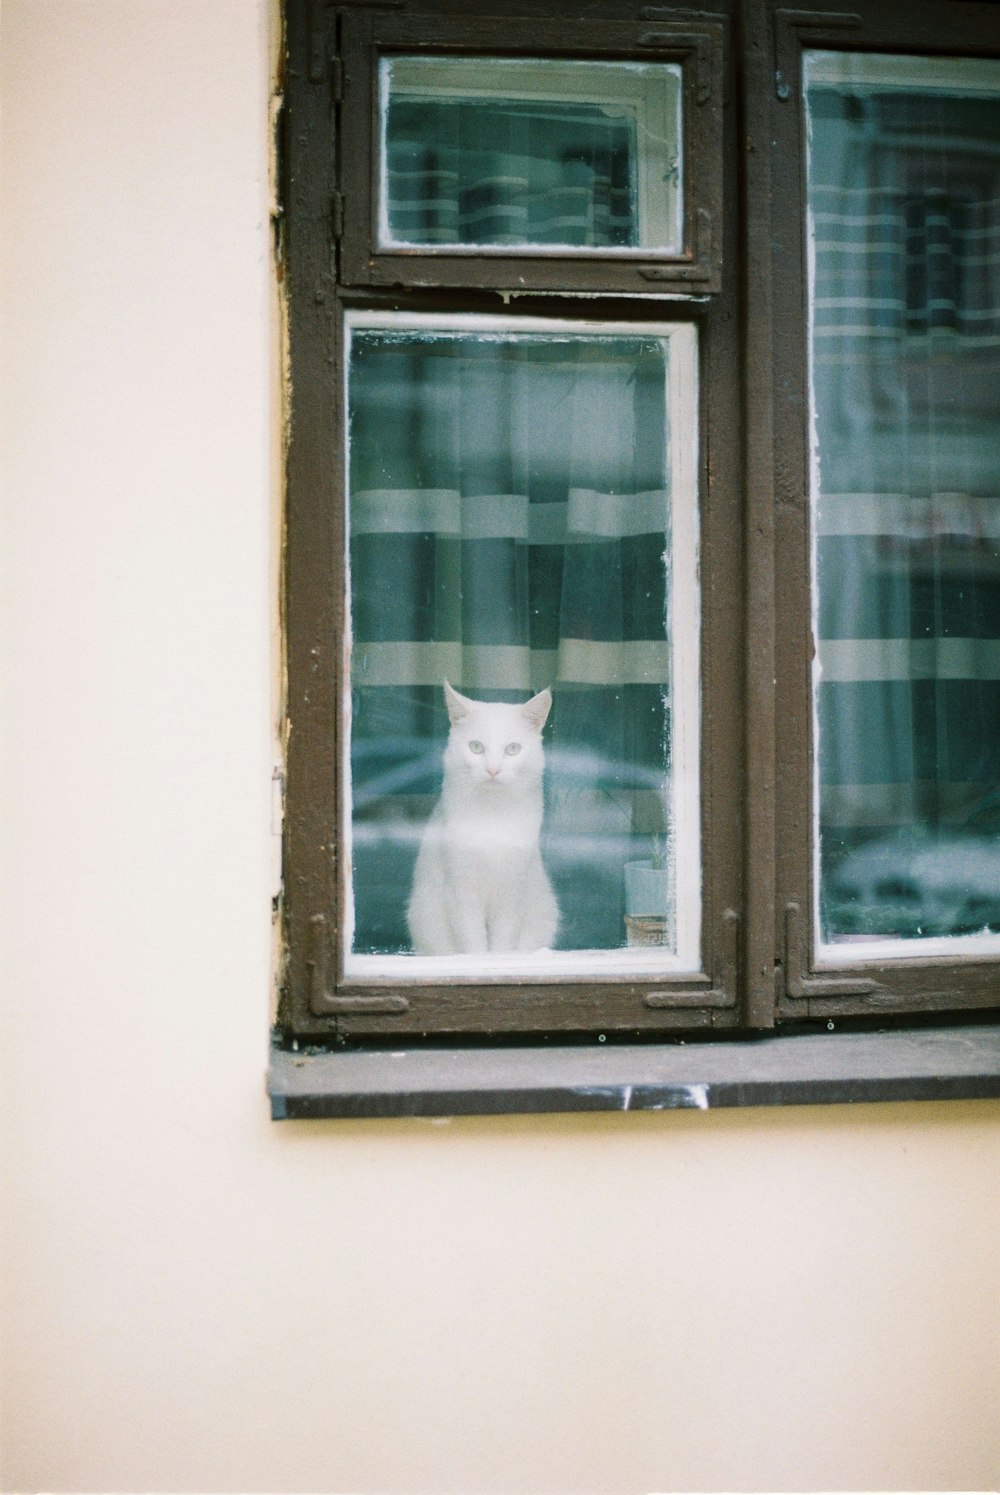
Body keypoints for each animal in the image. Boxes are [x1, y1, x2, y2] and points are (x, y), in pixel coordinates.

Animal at [406, 681, 562, 950]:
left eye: (513, 749)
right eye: (476, 747)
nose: (493, 770)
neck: (492, 814)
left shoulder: (513, 892)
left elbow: (503, 942)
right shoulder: (461, 891)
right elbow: (473, 943)